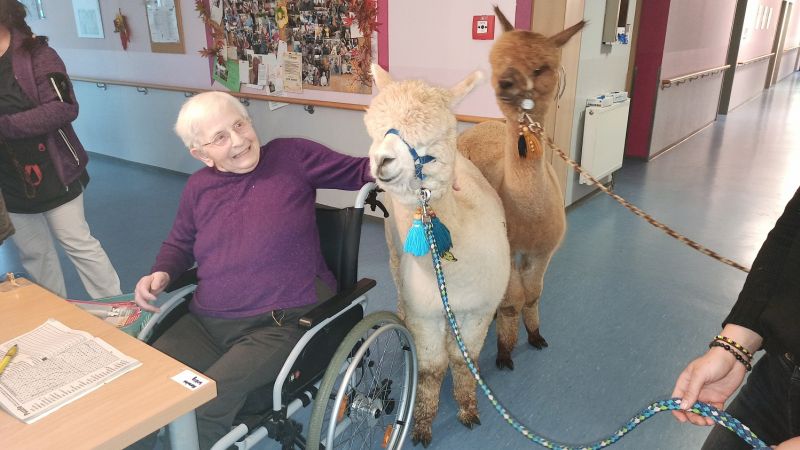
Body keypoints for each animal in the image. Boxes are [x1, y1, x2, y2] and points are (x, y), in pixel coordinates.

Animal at [365, 64, 510, 447]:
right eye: (375, 132)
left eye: (433, 137)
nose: (381, 160)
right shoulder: (425, 314)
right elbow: (431, 369)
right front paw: (421, 424)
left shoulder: (479, 310)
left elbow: (463, 360)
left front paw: (468, 408)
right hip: (393, 250)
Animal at [458, 7, 585, 370]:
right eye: (497, 61)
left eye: (541, 68)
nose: (505, 82)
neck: (530, 217)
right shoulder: (510, 248)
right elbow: (514, 299)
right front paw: (504, 351)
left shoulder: (543, 250)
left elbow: (533, 294)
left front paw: (536, 335)